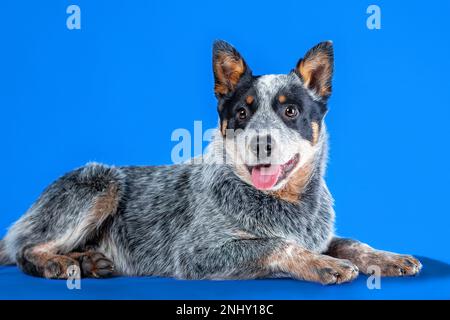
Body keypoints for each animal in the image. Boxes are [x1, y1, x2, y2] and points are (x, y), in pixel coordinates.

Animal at [0, 41, 422, 284]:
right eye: (241, 113)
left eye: (290, 111)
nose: (261, 143)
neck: (285, 203)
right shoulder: (197, 254)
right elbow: (274, 244)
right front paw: (321, 265)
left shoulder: (320, 236)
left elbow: (350, 242)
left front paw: (386, 257)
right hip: (102, 181)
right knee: (25, 251)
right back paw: (60, 264)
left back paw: (89, 261)